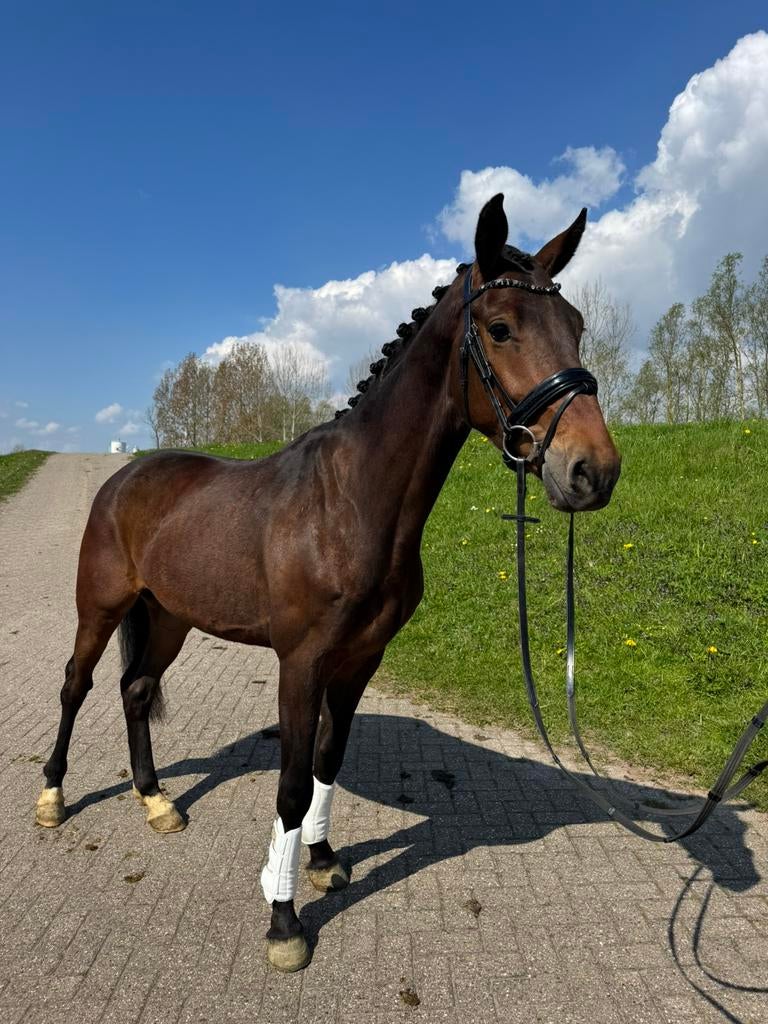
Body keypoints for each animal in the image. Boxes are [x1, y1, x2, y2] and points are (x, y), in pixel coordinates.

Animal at [35, 194, 621, 972]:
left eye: (576, 326)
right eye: (500, 328)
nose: (593, 471)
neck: (349, 503)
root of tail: (125, 476)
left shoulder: (359, 660)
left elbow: (326, 763)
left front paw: (321, 861)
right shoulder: (302, 662)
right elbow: (288, 787)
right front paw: (284, 921)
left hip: (168, 617)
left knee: (135, 690)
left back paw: (157, 801)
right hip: (101, 606)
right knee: (77, 685)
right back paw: (51, 798)